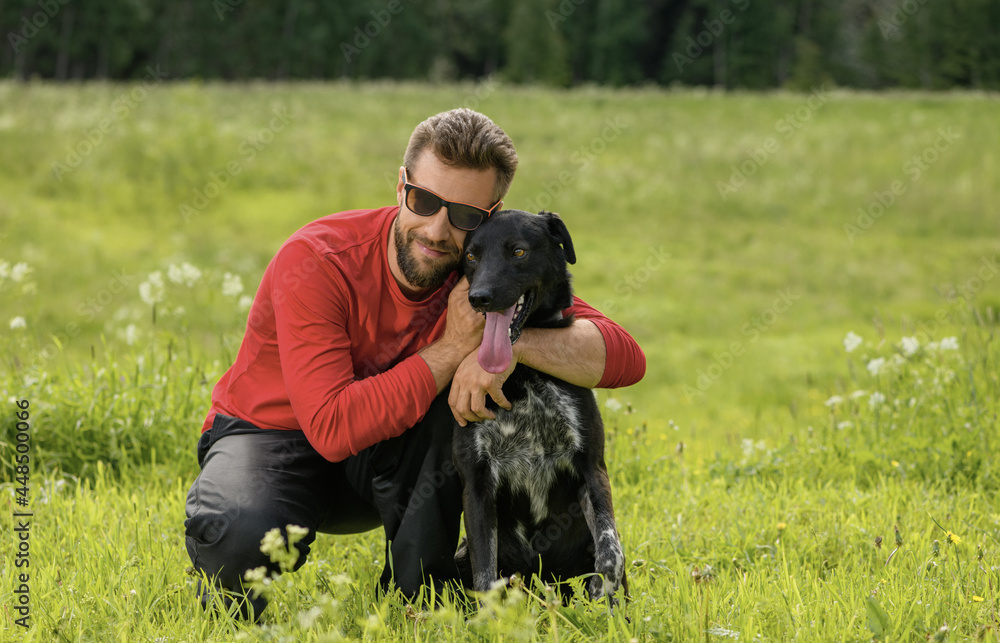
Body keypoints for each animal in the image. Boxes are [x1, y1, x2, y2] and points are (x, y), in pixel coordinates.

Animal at [454, 210, 624, 604]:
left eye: (518, 251)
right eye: (471, 256)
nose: (478, 298)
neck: (522, 374)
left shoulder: (591, 466)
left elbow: (610, 550)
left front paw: (599, 596)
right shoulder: (477, 481)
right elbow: (485, 576)